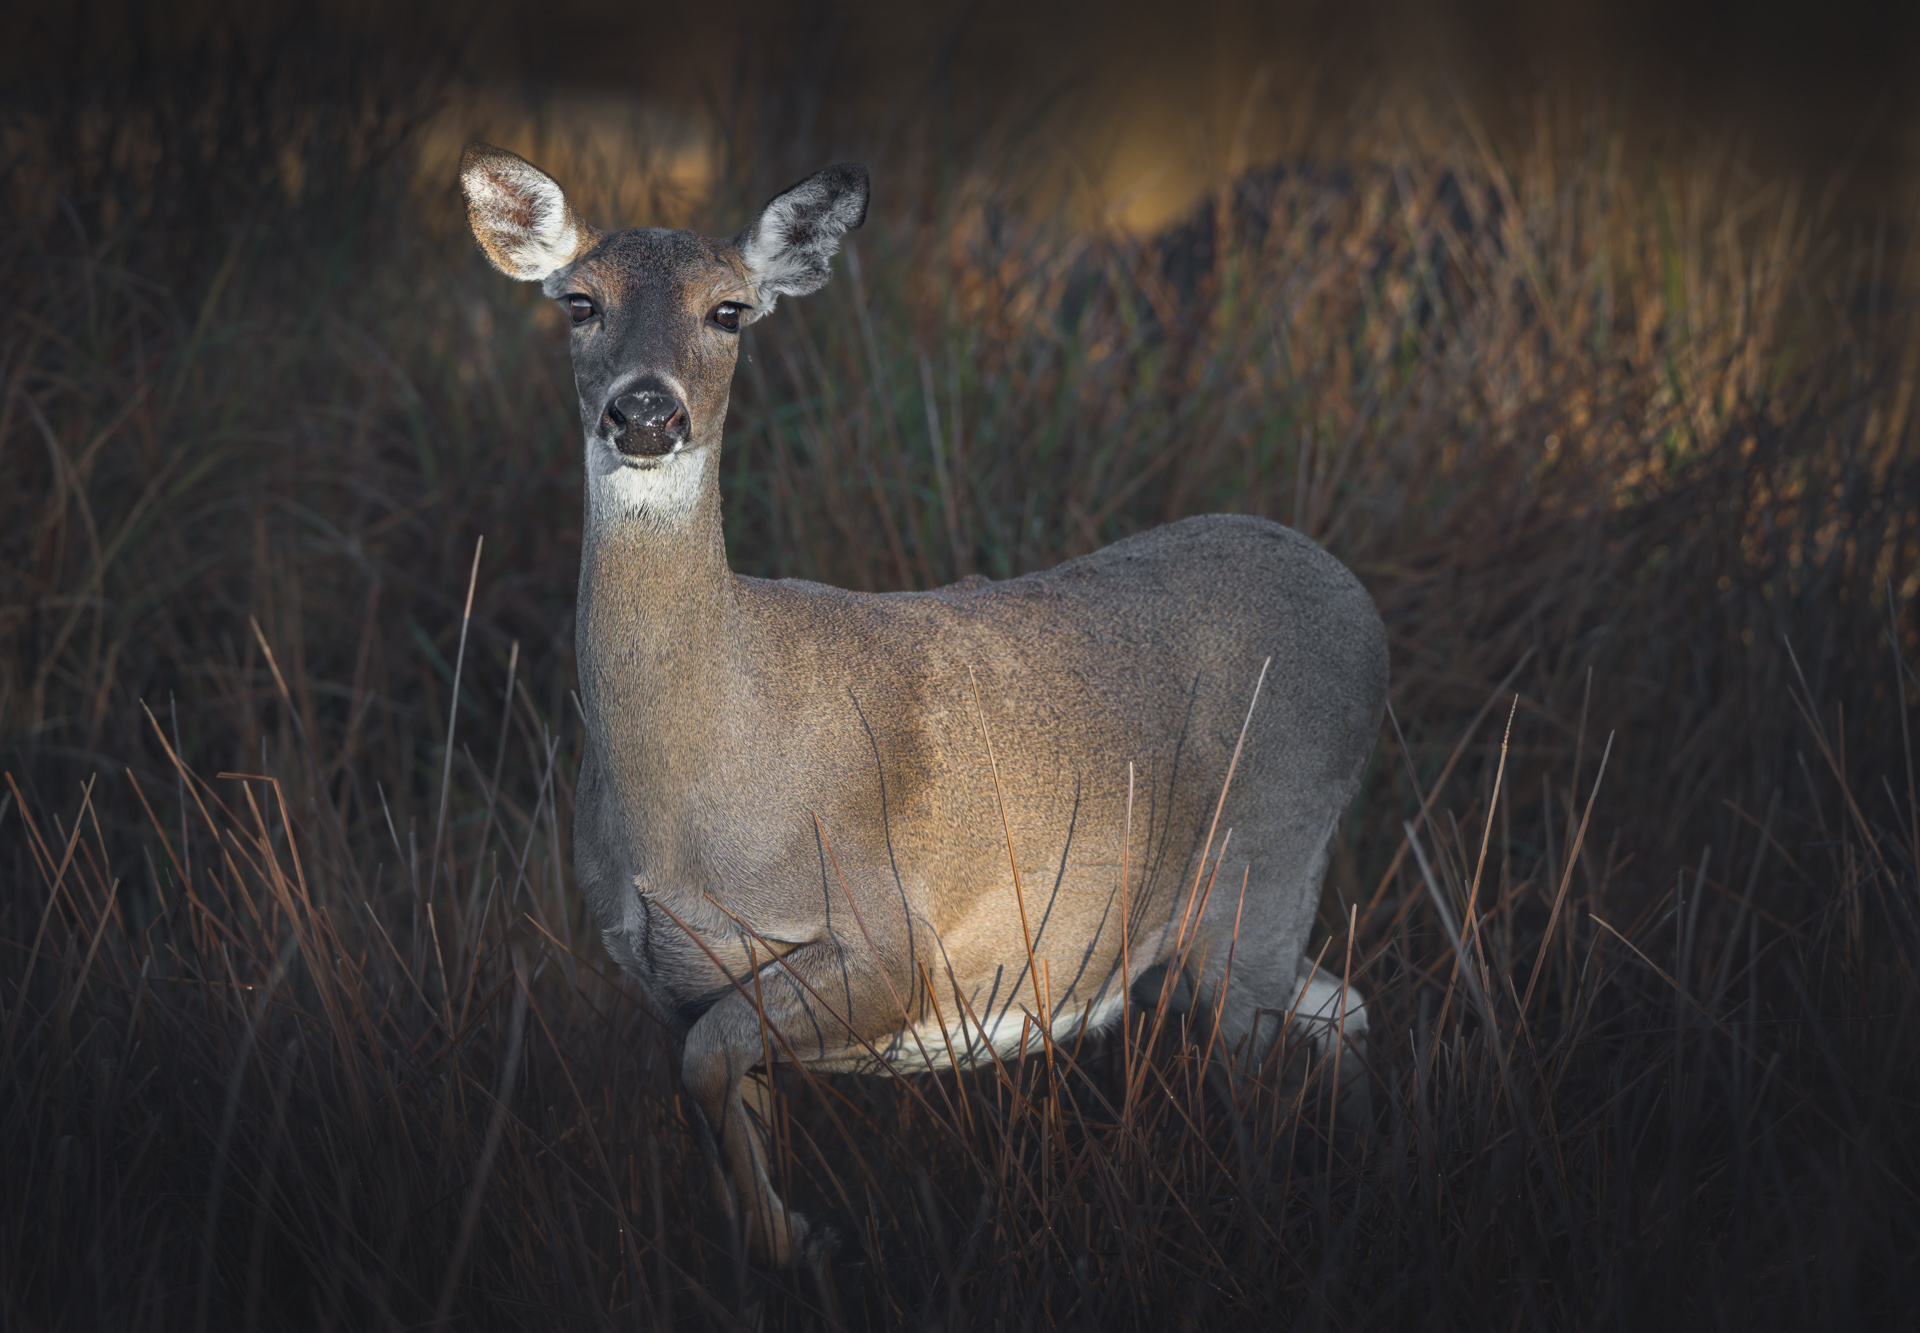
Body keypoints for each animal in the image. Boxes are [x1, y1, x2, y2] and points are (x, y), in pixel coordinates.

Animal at [459, 143, 1389, 1268]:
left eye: (729, 310)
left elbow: (714, 1072)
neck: (693, 779)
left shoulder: (885, 935)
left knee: (1269, 1066)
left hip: (1267, 857)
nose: (645, 412)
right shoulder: (670, 984)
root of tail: (1360, 603)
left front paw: (805, 1231)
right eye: (579, 302)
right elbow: (720, 1109)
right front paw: (783, 1237)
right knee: (1344, 1009)